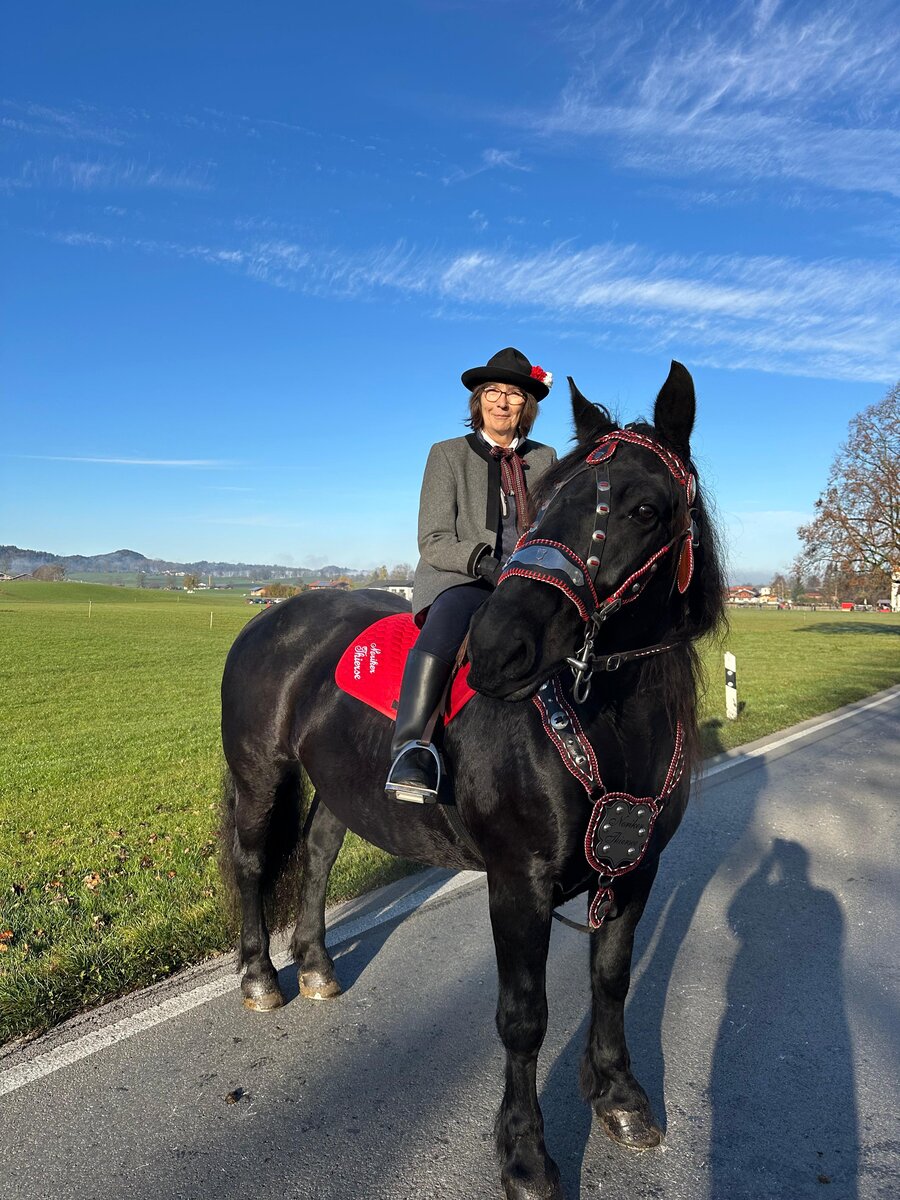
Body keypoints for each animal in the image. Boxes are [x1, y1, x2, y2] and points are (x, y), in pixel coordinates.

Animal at [219, 361, 726, 1200]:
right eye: (544, 504)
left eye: (646, 509)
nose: (496, 649)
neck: (603, 719)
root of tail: (270, 619)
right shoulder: (517, 882)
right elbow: (524, 1016)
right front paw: (523, 1154)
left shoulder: (636, 869)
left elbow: (611, 979)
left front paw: (619, 1100)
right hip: (261, 773)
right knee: (255, 863)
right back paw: (262, 978)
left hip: (341, 784)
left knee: (318, 853)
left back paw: (318, 966)